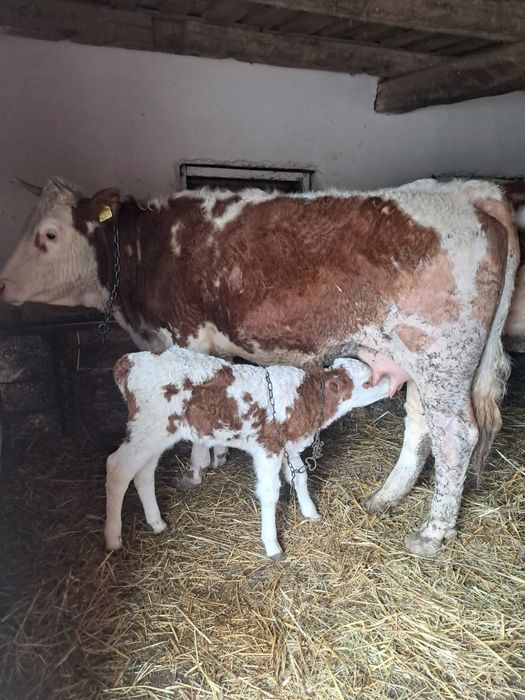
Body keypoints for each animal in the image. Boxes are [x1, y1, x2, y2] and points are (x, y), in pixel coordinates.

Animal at [106, 348, 391, 558]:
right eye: (368, 381)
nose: (392, 383)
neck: (304, 399)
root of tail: (129, 361)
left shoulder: (287, 445)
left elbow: (300, 477)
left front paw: (311, 513)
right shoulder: (268, 448)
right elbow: (270, 493)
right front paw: (273, 546)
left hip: (156, 435)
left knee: (143, 474)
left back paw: (157, 523)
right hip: (148, 429)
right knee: (117, 469)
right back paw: (113, 538)